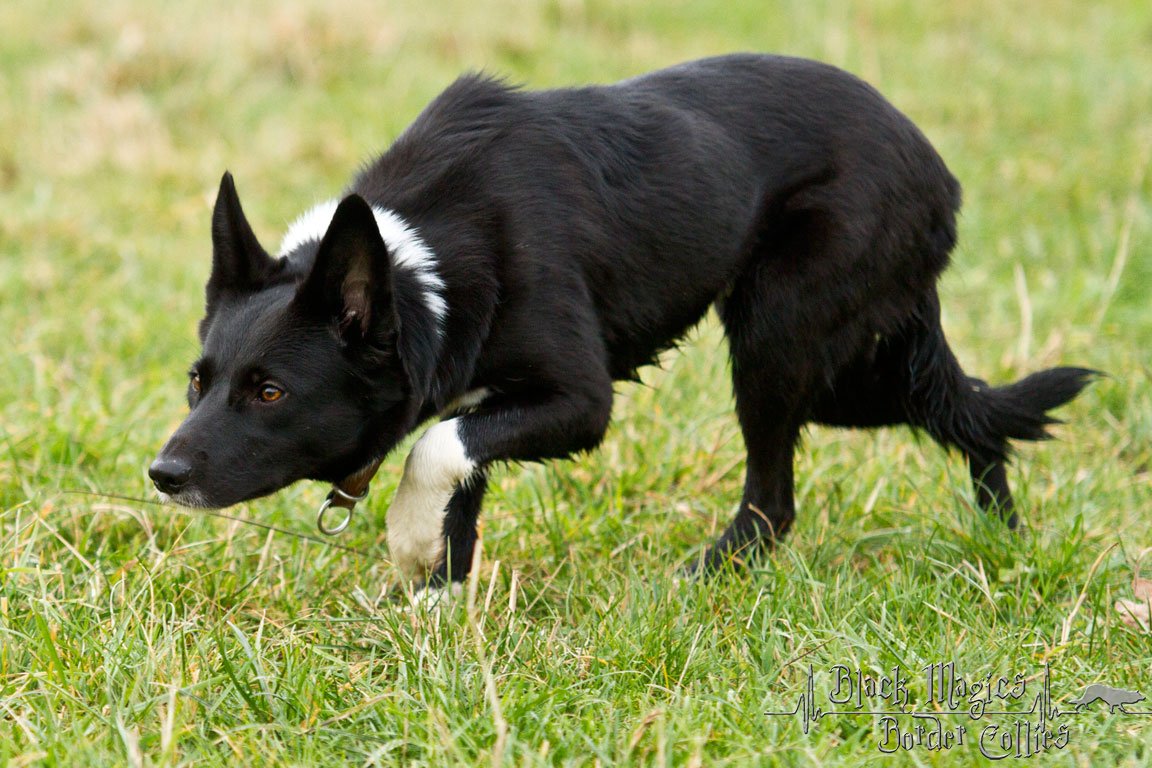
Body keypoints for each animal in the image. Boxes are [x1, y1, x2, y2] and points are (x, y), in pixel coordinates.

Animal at [150, 54, 1094, 585]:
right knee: (964, 413)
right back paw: (1002, 537)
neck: (427, 261)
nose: (162, 474)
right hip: (843, 366)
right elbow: (459, 477)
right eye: (199, 381)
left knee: (779, 498)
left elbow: (433, 449)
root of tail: (933, 168)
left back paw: (703, 580)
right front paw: (438, 604)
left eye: (271, 392)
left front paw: (412, 544)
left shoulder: (578, 400)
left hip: (778, 342)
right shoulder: (492, 400)